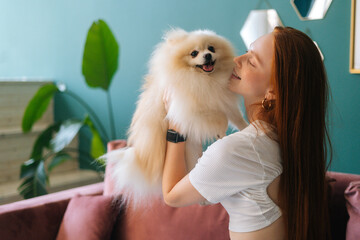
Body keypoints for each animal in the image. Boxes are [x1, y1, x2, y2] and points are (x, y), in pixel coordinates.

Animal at [106, 28, 248, 204]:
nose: (208, 55)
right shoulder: (190, 112)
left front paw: (246, 127)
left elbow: (236, 118)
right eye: (194, 53)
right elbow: (220, 118)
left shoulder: (225, 102)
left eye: (211, 48)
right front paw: (220, 131)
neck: (207, 80)